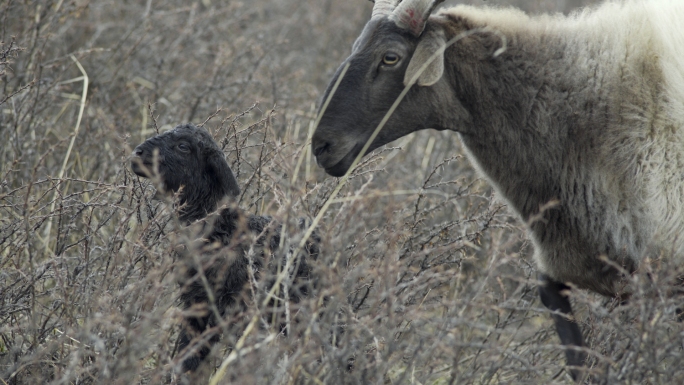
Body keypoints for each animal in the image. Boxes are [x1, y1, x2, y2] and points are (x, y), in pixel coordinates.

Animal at [131, 123, 318, 372]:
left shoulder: (238, 308)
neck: (222, 229)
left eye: (183, 146)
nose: (137, 154)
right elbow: (190, 350)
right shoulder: (196, 304)